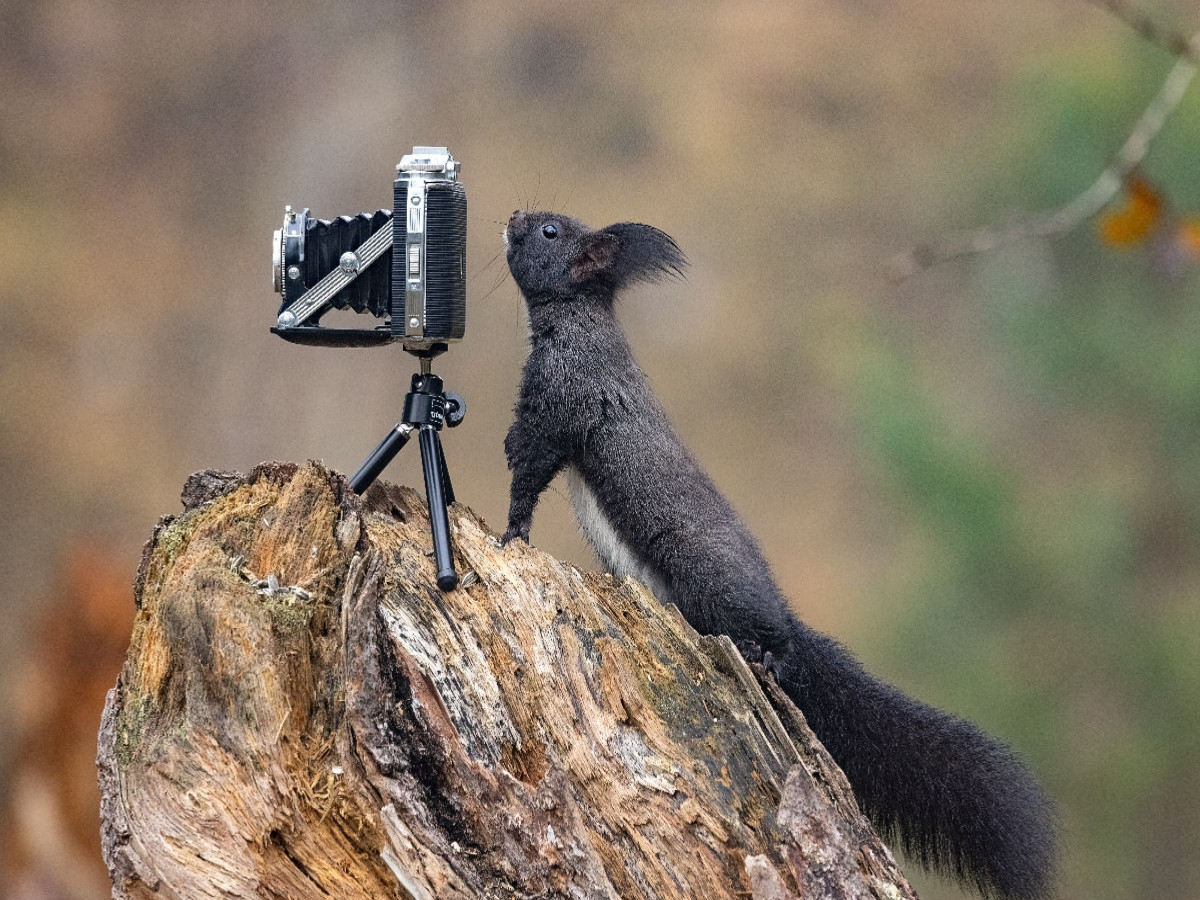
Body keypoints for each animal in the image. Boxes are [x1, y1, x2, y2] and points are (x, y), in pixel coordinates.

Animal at [501, 210, 1056, 900]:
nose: (513, 220)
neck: (579, 325)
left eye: (551, 232)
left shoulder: (562, 401)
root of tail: (782, 615)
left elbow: (530, 468)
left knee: (775, 644)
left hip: (714, 585)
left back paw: (770, 656)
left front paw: (511, 534)